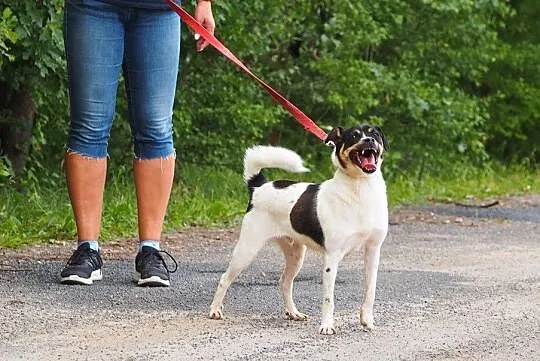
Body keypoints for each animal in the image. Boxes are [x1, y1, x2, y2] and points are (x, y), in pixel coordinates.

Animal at [209, 124, 390, 334]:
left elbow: (370, 291)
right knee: (224, 278)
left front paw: (367, 321)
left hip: (295, 255)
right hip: (247, 249)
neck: (360, 188)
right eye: (354, 136)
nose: (369, 140)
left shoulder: (373, 251)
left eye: (375, 134)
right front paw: (327, 326)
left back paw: (293, 313)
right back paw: (215, 310)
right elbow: (328, 299)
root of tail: (258, 187)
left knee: (284, 282)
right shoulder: (332, 256)